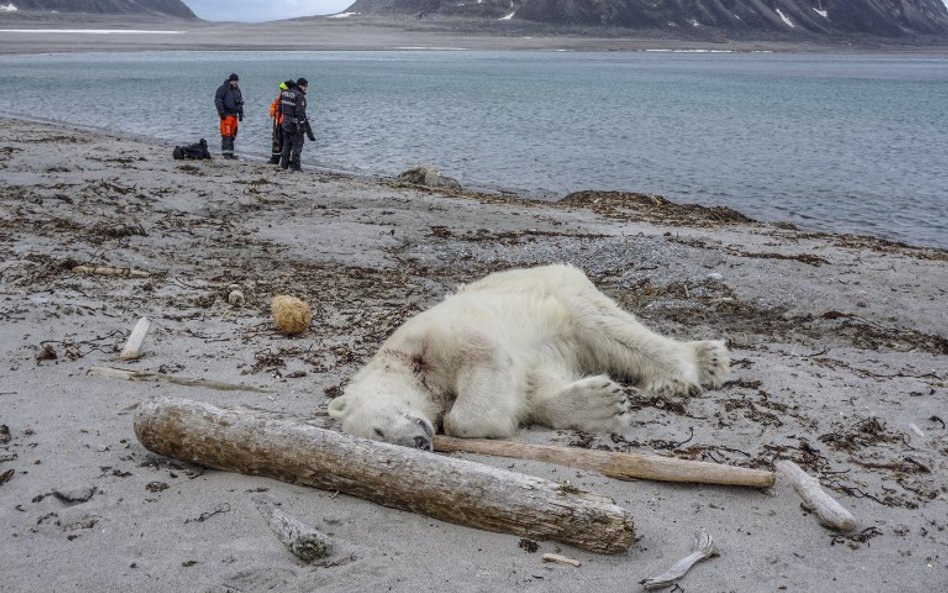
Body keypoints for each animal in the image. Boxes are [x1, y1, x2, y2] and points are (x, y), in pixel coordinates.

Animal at [330, 264, 728, 448]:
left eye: (378, 429)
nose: (420, 442)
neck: (406, 363)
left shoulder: (434, 336)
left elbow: (482, 363)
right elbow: (533, 387)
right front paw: (602, 404)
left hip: (563, 294)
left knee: (610, 329)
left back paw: (690, 368)